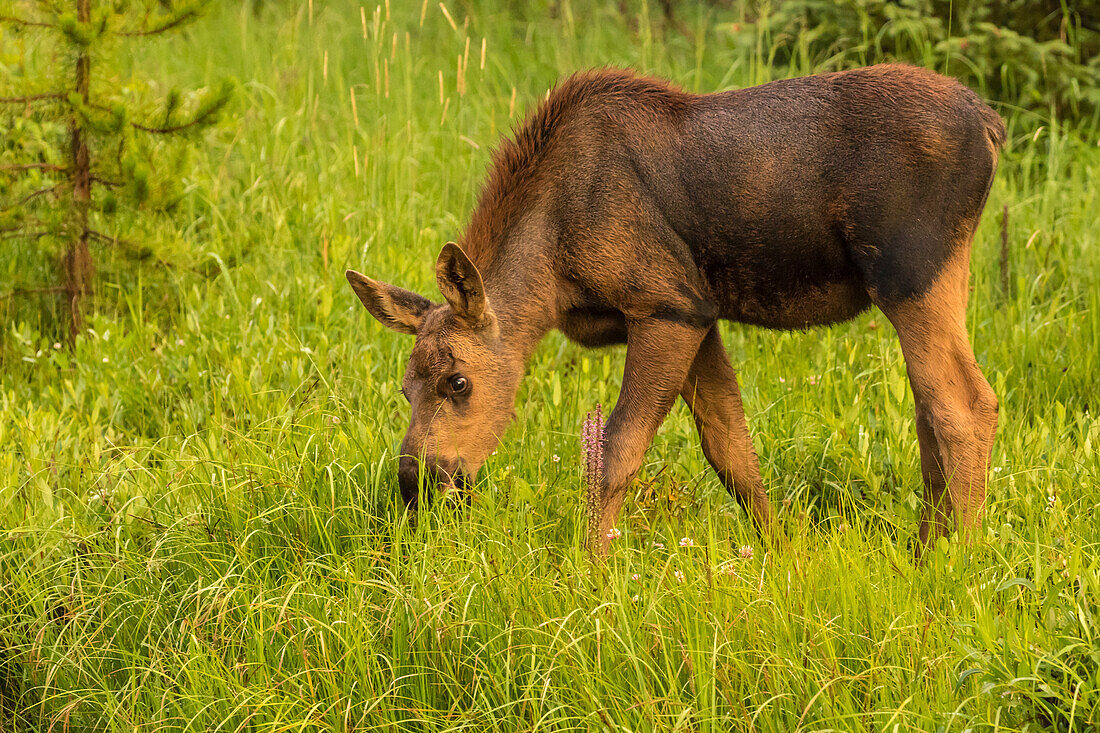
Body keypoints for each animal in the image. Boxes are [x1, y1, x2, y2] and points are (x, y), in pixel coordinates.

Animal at [349, 65, 1007, 554]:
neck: (552, 281)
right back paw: (926, 545)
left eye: (458, 381)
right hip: (946, 274)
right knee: (929, 408)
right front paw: (781, 553)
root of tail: (991, 124)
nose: (416, 481)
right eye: (405, 387)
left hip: (909, 274)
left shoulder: (667, 307)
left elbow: (616, 451)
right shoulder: (699, 313)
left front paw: (591, 569)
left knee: (963, 403)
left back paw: (957, 559)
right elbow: (731, 448)